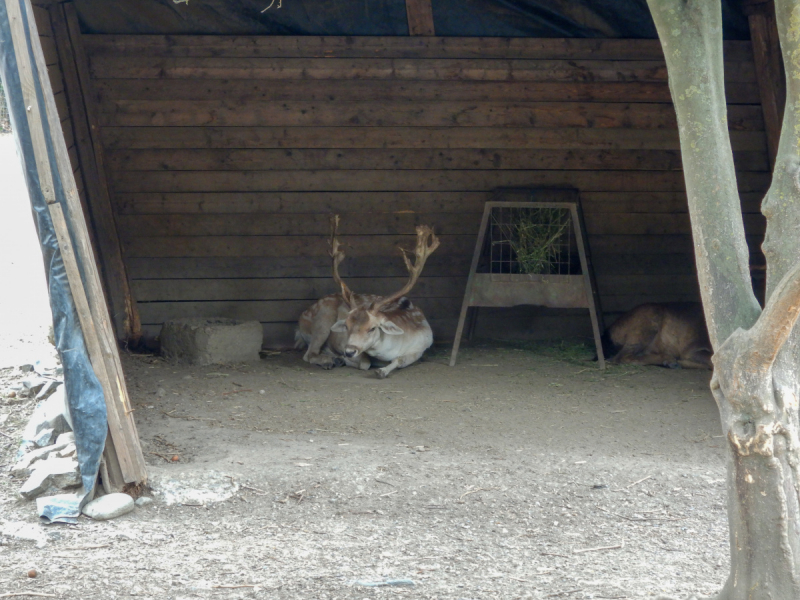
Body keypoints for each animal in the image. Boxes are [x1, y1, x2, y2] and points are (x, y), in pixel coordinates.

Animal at [296, 213, 440, 378]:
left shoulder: (420, 348)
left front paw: (382, 371)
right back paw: (330, 360)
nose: (349, 351)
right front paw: (344, 359)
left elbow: (400, 360)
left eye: (372, 328)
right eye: (346, 325)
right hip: (323, 320)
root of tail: (300, 321)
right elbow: (365, 363)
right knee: (309, 353)